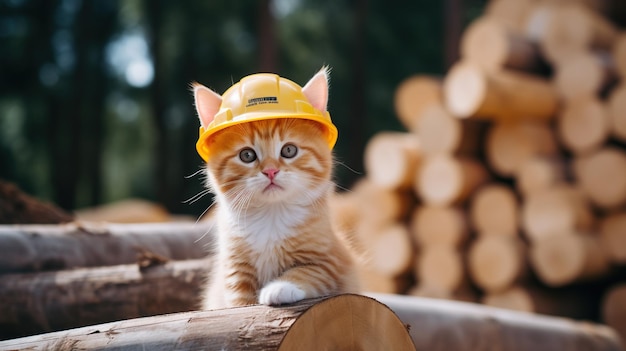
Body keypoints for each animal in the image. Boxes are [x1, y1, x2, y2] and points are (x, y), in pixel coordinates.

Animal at [191, 67, 356, 310]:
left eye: (288, 150)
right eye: (247, 155)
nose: (270, 171)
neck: (272, 214)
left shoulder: (331, 261)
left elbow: (307, 271)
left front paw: (279, 288)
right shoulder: (234, 271)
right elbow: (239, 305)